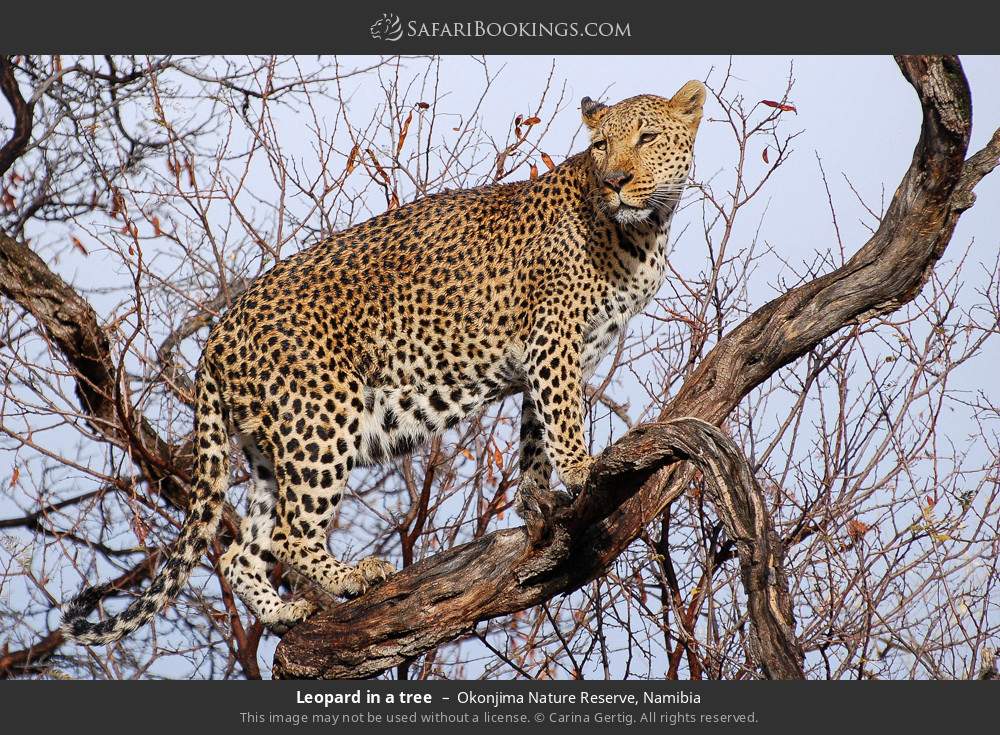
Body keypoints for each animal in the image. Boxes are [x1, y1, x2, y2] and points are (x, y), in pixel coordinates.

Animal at [62, 82, 708, 644]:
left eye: (648, 137)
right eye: (601, 146)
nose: (616, 180)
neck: (643, 232)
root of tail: (220, 333)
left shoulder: (551, 357)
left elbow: (533, 435)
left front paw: (537, 499)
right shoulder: (553, 342)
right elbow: (563, 417)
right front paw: (580, 469)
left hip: (267, 447)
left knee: (240, 550)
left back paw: (283, 613)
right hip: (321, 420)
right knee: (291, 534)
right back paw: (352, 576)